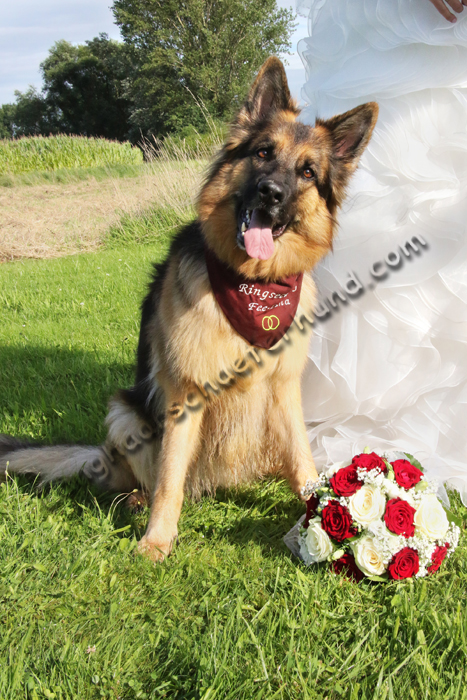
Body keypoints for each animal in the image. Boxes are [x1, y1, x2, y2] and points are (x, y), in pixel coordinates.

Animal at [0, 58, 378, 561]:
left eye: (307, 172)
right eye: (263, 153)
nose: (271, 193)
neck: (250, 283)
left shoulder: (283, 387)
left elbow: (302, 457)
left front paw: (322, 512)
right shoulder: (186, 393)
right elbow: (170, 479)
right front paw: (157, 540)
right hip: (125, 412)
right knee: (140, 476)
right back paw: (135, 498)